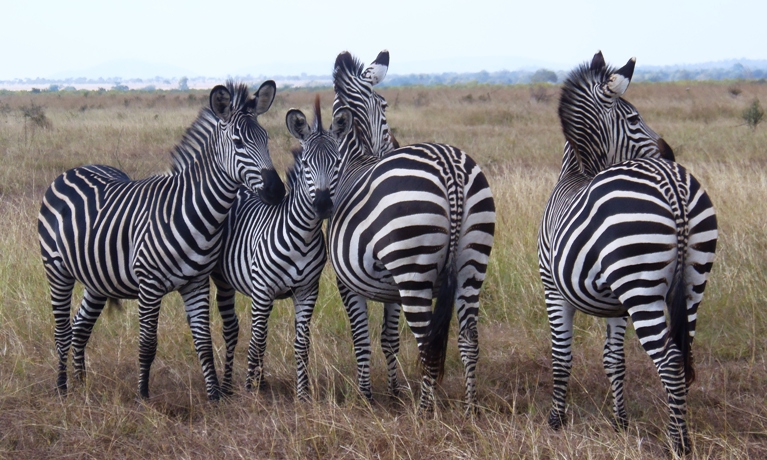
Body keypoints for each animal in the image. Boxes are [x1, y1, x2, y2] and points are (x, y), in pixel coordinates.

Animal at [39, 81, 284, 400]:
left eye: (266, 139)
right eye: (238, 142)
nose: (278, 191)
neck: (193, 211)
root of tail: (74, 170)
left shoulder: (196, 282)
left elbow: (203, 342)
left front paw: (215, 397)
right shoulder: (149, 284)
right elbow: (147, 343)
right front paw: (143, 396)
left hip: (96, 277)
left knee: (81, 326)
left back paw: (82, 385)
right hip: (57, 269)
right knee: (62, 330)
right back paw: (62, 387)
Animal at [210, 96, 354, 398]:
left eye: (337, 163)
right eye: (307, 164)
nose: (322, 205)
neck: (302, 236)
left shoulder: (307, 291)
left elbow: (301, 343)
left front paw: (303, 394)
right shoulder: (263, 290)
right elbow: (256, 341)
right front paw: (250, 393)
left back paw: (261, 382)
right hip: (224, 281)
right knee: (234, 331)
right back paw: (228, 386)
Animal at [330, 51, 498, 414]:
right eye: (385, 105)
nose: (393, 145)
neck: (356, 158)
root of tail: (449, 168)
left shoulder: (346, 282)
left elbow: (361, 340)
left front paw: (366, 396)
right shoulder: (391, 290)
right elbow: (388, 339)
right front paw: (393, 392)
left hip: (412, 266)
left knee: (427, 343)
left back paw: (425, 411)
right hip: (473, 262)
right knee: (469, 338)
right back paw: (470, 407)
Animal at [536, 52, 716, 454]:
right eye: (634, 119)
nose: (669, 153)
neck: (578, 172)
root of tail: (670, 182)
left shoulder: (553, 290)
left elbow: (561, 355)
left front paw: (556, 420)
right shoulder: (616, 305)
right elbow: (614, 359)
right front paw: (620, 421)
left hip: (641, 287)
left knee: (669, 360)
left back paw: (678, 443)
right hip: (692, 283)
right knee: (682, 352)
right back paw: (679, 432)